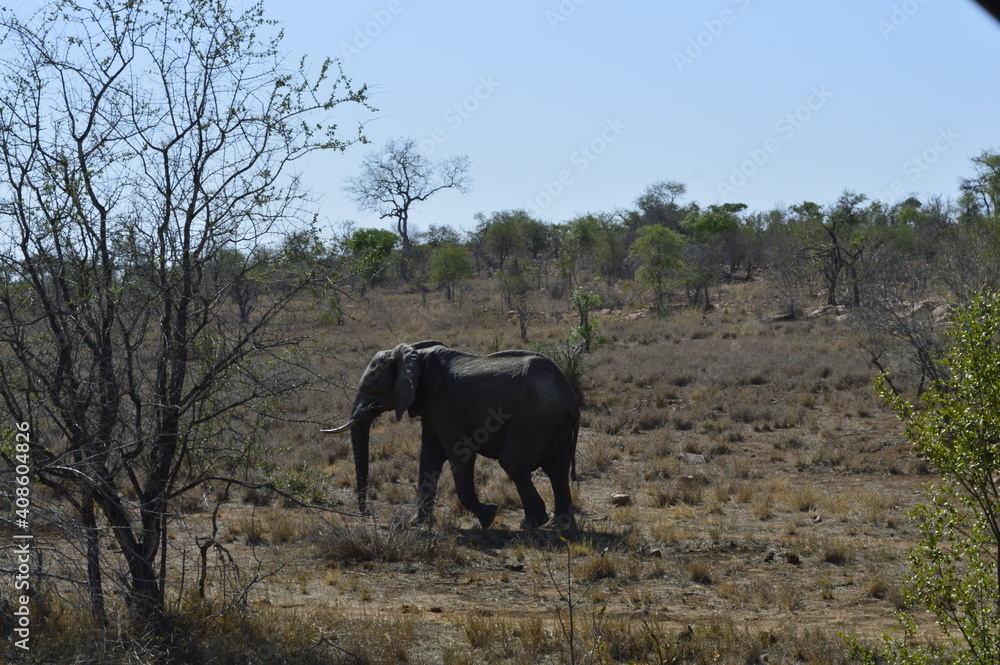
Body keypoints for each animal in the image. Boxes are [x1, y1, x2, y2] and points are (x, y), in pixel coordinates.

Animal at [323, 341, 579, 530]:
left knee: (513, 461)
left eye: (369, 384)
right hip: (552, 423)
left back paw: (533, 524)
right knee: (557, 470)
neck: (415, 354)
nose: (368, 513)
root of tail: (570, 399)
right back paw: (559, 526)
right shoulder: (431, 406)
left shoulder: (443, 403)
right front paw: (417, 524)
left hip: (533, 419)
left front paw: (489, 516)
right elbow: (429, 458)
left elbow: (460, 454)